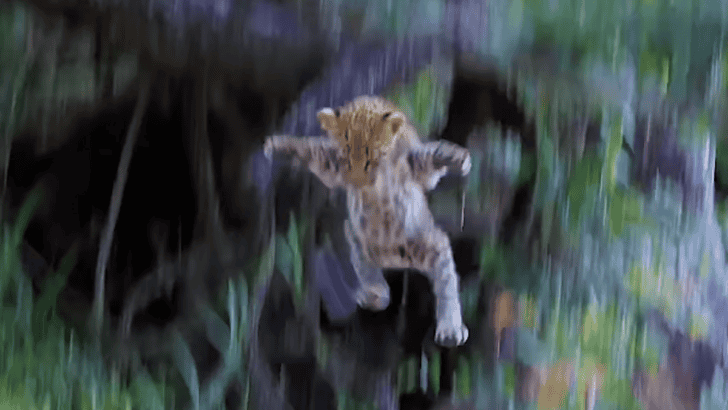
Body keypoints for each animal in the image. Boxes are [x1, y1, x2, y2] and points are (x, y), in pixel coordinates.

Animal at [264, 95, 472, 347]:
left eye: (370, 156)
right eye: (346, 156)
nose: (357, 181)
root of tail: (395, 258)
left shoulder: (413, 167)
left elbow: (429, 163)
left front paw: (456, 158)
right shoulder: (333, 167)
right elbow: (313, 151)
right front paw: (278, 146)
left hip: (430, 243)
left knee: (446, 282)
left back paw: (450, 329)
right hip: (358, 239)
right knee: (366, 268)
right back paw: (374, 293)